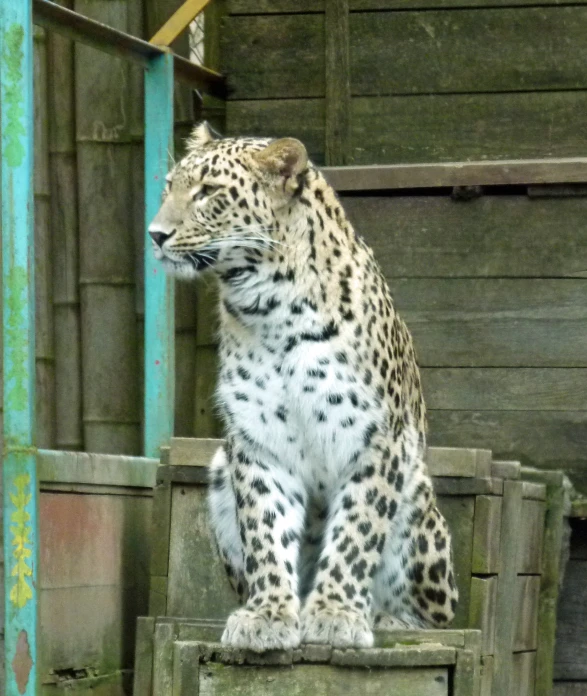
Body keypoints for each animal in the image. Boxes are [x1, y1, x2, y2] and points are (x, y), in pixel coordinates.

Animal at [148, 122, 460, 648]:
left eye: (208, 192)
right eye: (170, 186)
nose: (155, 234)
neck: (269, 306)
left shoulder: (376, 439)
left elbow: (356, 530)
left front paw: (335, 613)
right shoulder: (257, 440)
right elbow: (266, 530)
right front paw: (268, 615)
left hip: (420, 504)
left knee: (439, 616)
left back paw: (386, 617)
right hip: (219, 470)